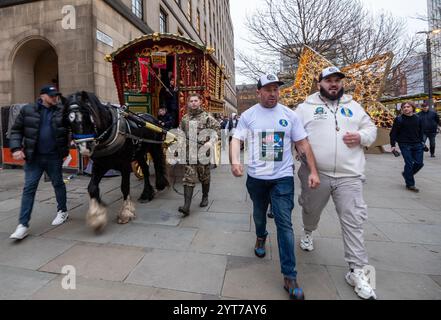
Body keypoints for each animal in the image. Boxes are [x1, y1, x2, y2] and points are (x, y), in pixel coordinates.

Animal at [64, 91, 169, 231]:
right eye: (69, 121)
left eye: (89, 117)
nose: (85, 148)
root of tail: (151, 117)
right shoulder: (99, 165)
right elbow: (92, 187)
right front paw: (97, 216)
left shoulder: (124, 165)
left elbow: (124, 187)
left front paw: (125, 213)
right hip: (139, 153)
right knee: (145, 170)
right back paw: (146, 194)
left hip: (154, 147)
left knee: (158, 164)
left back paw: (159, 184)